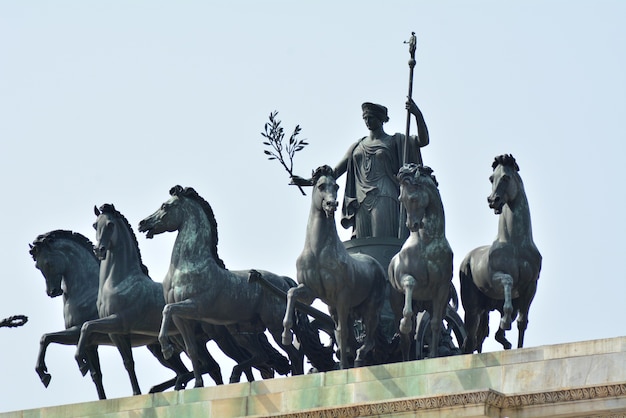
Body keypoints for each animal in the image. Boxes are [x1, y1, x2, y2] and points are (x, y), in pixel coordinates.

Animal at [282, 165, 386, 368]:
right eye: (321, 185)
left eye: (336, 186)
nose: (332, 204)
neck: (317, 251)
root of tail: (376, 265)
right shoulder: (311, 293)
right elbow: (291, 293)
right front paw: (286, 335)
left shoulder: (342, 297)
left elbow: (342, 333)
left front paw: (344, 367)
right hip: (341, 309)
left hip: (370, 308)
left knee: (368, 338)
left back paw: (358, 358)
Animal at [388, 163, 450, 360]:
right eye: (400, 198)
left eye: (414, 198)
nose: (412, 225)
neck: (428, 242)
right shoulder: (405, 278)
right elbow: (410, 283)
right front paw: (405, 323)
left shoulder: (442, 289)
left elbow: (436, 323)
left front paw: (433, 355)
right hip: (396, 304)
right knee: (405, 339)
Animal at [458, 153, 540, 352]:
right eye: (491, 178)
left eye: (506, 177)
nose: (492, 200)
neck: (516, 244)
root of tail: (467, 259)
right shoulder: (496, 278)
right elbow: (508, 280)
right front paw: (505, 321)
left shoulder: (530, 287)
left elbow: (522, 322)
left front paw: (517, 345)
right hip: (472, 308)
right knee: (470, 340)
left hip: (486, 307)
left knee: (483, 337)